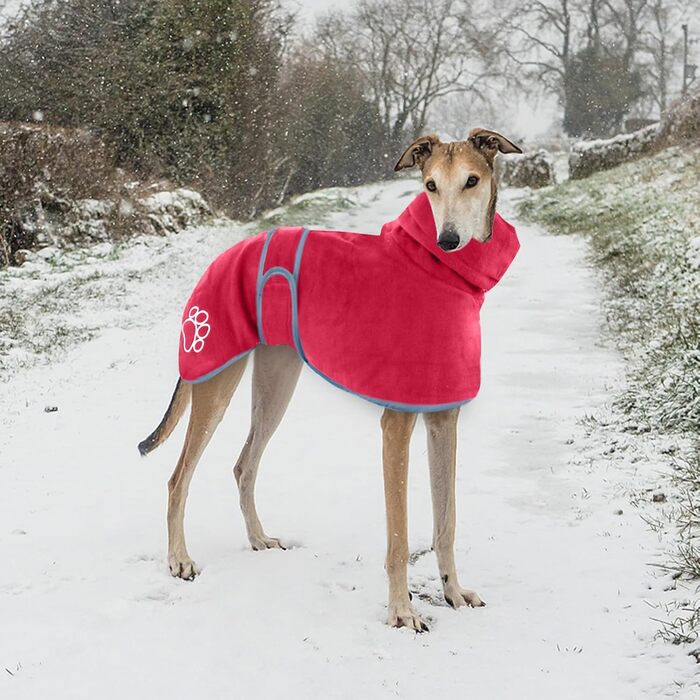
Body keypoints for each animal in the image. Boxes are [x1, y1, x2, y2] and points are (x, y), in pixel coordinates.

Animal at [138, 129, 520, 632]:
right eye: (430, 186)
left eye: (471, 180)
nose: (448, 240)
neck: (443, 276)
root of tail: (220, 258)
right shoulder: (396, 426)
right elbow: (399, 535)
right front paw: (402, 613)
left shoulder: (443, 421)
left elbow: (447, 521)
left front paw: (453, 593)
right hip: (214, 381)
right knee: (177, 478)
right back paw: (179, 559)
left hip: (276, 386)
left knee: (244, 465)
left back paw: (258, 538)